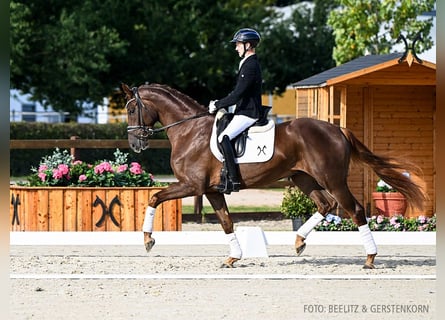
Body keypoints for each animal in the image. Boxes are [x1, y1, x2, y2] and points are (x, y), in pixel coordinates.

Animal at [120, 82, 424, 268]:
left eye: (132, 109)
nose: (135, 144)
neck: (188, 131)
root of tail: (337, 129)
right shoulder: (211, 190)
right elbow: (226, 222)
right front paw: (233, 258)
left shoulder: (191, 186)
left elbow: (154, 198)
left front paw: (148, 240)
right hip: (303, 178)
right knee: (326, 204)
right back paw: (299, 242)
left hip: (333, 179)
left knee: (354, 209)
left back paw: (370, 258)